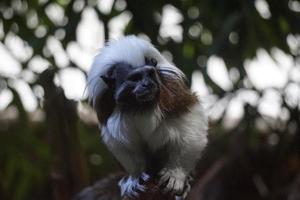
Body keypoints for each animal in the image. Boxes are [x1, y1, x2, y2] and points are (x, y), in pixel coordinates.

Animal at [88, 35, 207, 198]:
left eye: (149, 74)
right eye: (135, 78)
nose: (147, 84)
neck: (139, 105)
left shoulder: (173, 95)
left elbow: (191, 126)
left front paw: (176, 174)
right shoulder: (106, 106)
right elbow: (118, 141)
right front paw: (135, 177)